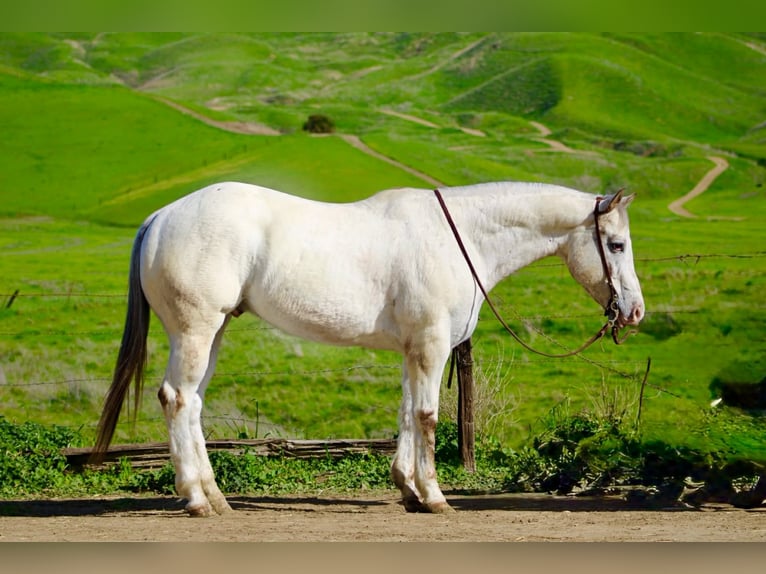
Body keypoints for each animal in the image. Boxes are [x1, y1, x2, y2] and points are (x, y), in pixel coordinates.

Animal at [93, 180, 645, 516]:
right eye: (616, 245)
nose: (635, 312)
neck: (461, 238)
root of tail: (162, 216)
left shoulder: (414, 349)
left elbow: (405, 413)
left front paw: (407, 489)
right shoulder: (431, 344)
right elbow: (427, 417)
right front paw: (435, 496)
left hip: (215, 331)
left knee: (191, 404)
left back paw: (214, 496)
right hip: (196, 329)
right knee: (177, 399)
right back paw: (196, 500)